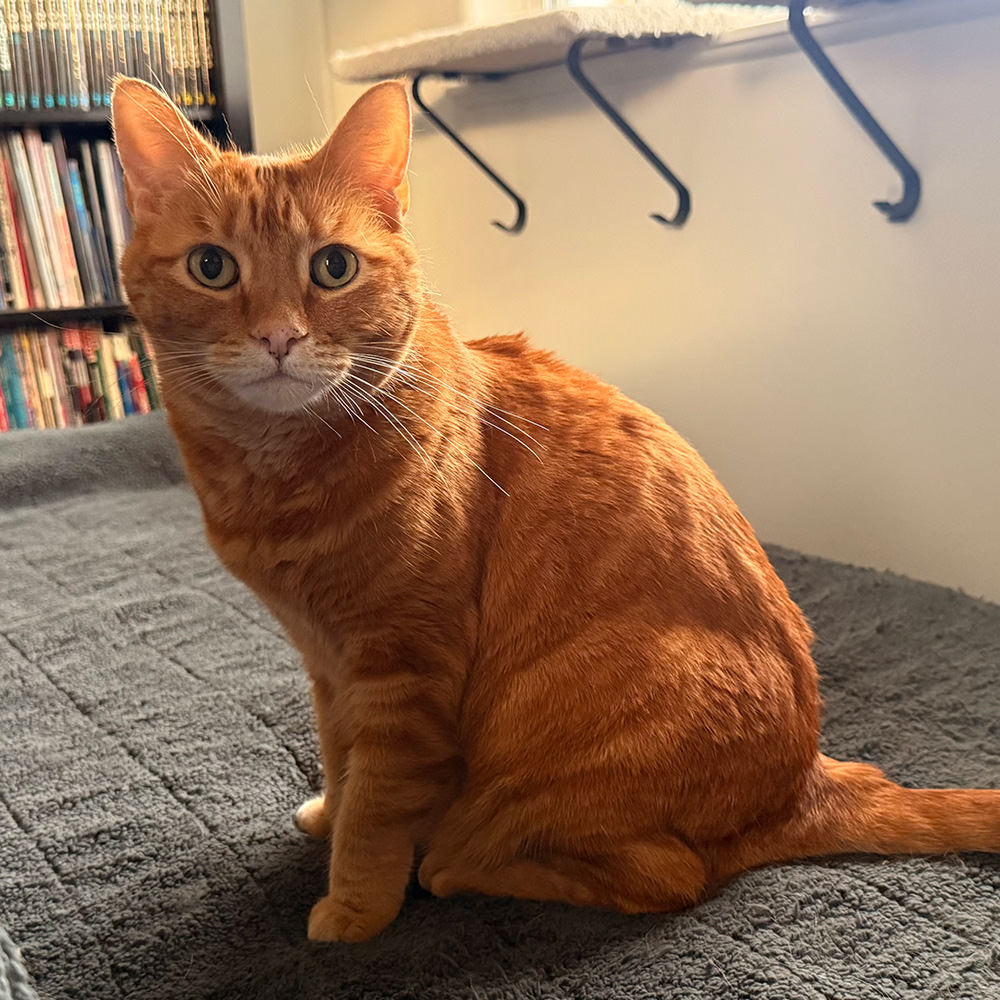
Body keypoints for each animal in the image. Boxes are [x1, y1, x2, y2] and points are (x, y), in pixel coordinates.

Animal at [111, 76, 1000, 936]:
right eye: (212, 267)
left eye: (332, 268)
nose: (278, 338)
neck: (274, 479)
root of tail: (809, 779)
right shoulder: (328, 664)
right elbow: (340, 759)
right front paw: (329, 814)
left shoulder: (405, 671)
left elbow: (377, 808)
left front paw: (354, 908)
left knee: (664, 875)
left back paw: (453, 864)